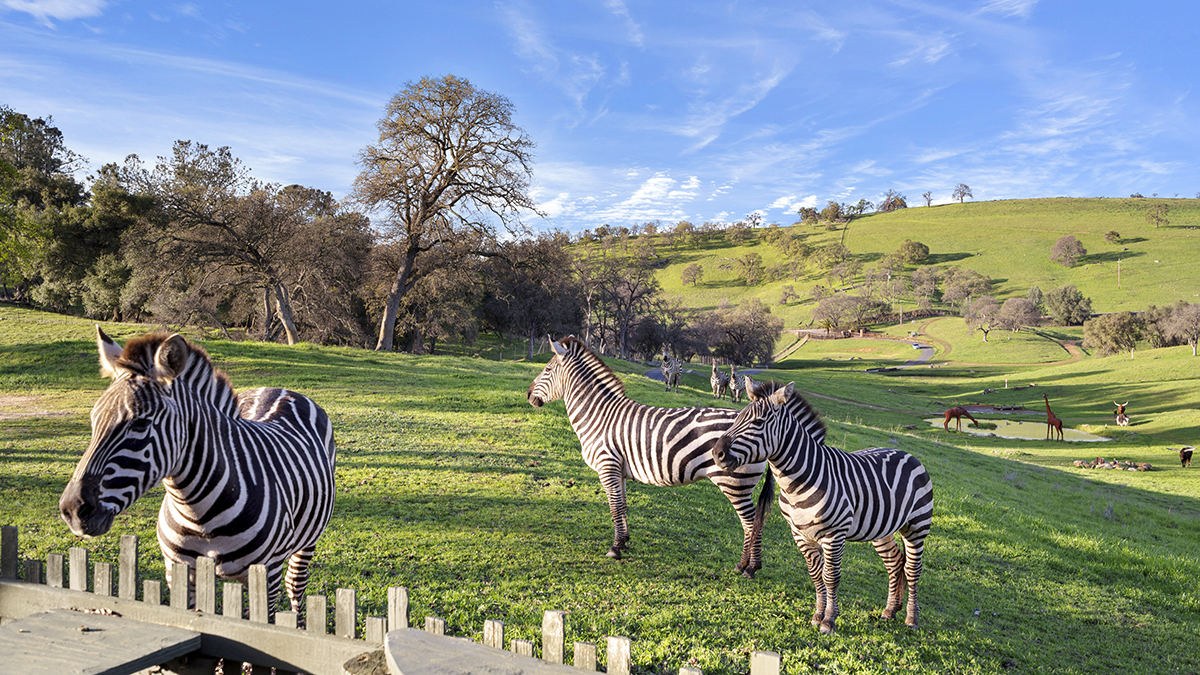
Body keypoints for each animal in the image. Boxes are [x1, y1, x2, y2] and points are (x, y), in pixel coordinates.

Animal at [59, 327, 337, 619]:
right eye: (93, 420)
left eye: (141, 424)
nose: (72, 510)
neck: (199, 515)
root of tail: (280, 389)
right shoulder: (179, 571)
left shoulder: (267, 574)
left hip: (307, 542)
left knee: (295, 586)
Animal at [527, 336, 772, 576]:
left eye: (547, 369)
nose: (528, 395)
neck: (598, 415)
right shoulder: (619, 471)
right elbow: (622, 505)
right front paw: (624, 541)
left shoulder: (607, 466)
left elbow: (614, 507)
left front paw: (615, 548)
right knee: (753, 522)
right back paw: (745, 564)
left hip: (735, 482)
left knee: (751, 523)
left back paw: (750, 567)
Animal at [712, 379, 933, 634]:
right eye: (737, 418)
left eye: (758, 422)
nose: (716, 453)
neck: (799, 482)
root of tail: (908, 454)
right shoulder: (800, 534)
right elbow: (816, 575)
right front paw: (818, 615)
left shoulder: (834, 535)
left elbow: (831, 577)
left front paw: (829, 620)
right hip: (881, 529)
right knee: (895, 563)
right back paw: (889, 611)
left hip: (916, 526)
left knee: (912, 569)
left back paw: (912, 619)